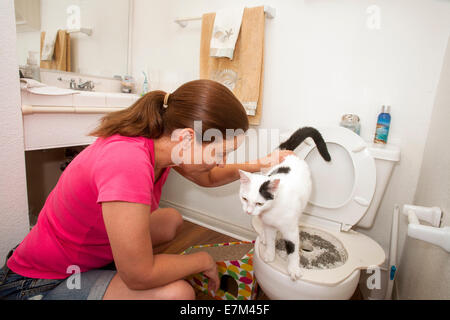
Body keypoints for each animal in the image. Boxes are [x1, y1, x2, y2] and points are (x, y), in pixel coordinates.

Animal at [239, 127, 330, 280]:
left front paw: (293, 269)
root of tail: (287, 152)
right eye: (244, 199)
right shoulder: (269, 225)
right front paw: (269, 253)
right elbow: (270, 240)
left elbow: (293, 250)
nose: (248, 211)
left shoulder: (291, 230)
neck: (272, 211)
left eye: (259, 203)